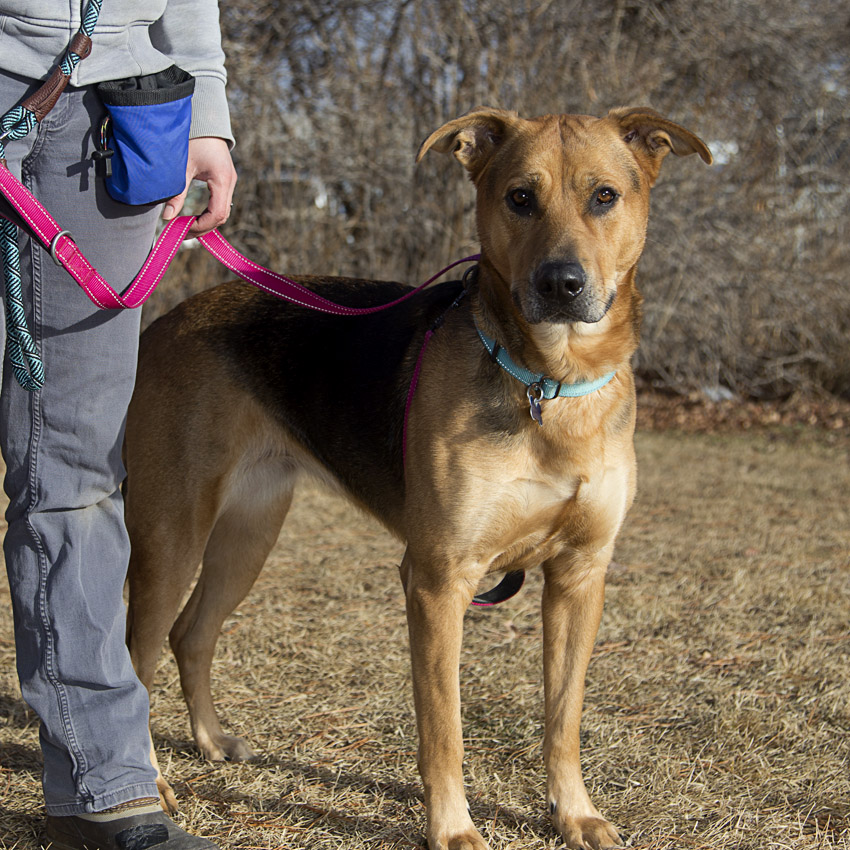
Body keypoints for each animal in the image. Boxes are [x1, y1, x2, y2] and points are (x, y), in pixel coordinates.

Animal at [124, 107, 708, 848]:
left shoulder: (580, 575)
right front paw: (452, 828)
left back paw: (210, 741)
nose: (560, 284)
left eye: (605, 196)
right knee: (134, 660)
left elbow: (563, 720)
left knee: (191, 635)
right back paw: (150, 787)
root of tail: (162, 322)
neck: (549, 383)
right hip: (171, 537)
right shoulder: (437, 581)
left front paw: (574, 814)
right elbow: (443, 729)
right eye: (520, 197)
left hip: (247, 537)